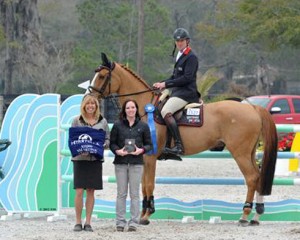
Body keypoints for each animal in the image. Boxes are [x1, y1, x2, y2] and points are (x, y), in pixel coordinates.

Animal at [89, 53, 278, 227]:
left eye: (102, 76)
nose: (90, 98)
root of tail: (252, 108)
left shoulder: (150, 157)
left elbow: (149, 184)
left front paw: (147, 215)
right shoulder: (142, 157)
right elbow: (143, 185)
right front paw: (143, 214)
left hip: (240, 153)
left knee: (252, 178)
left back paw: (244, 215)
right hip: (249, 152)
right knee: (258, 176)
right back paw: (256, 216)